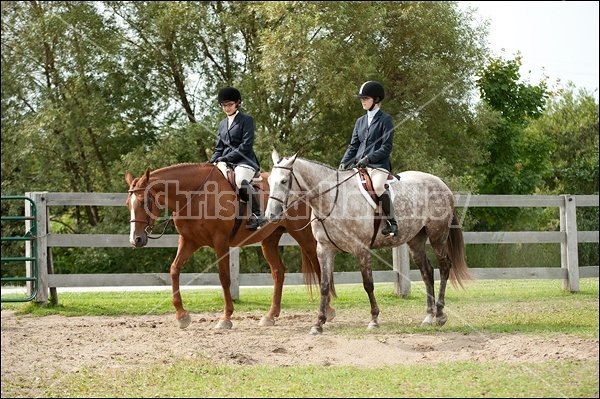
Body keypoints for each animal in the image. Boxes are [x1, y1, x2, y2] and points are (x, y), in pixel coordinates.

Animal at [125, 162, 336, 328]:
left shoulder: (221, 242)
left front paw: (225, 318)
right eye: (128, 204)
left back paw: (328, 310)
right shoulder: (189, 241)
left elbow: (224, 278)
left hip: (303, 235)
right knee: (278, 272)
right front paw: (181, 315)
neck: (195, 194)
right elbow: (174, 270)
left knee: (318, 266)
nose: (136, 240)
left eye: (143, 202)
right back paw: (270, 316)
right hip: (269, 239)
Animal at [264, 150, 472, 334]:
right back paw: (428, 317)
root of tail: (439, 182)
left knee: (444, 267)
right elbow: (324, 285)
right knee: (427, 272)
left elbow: (368, 284)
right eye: (269, 181)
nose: (270, 215)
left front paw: (374, 320)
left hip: (437, 236)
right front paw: (318, 324)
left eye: (284, 181)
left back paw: (440, 314)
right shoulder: (325, 249)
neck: (332, 200)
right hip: (416, 240)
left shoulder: (361, 249)